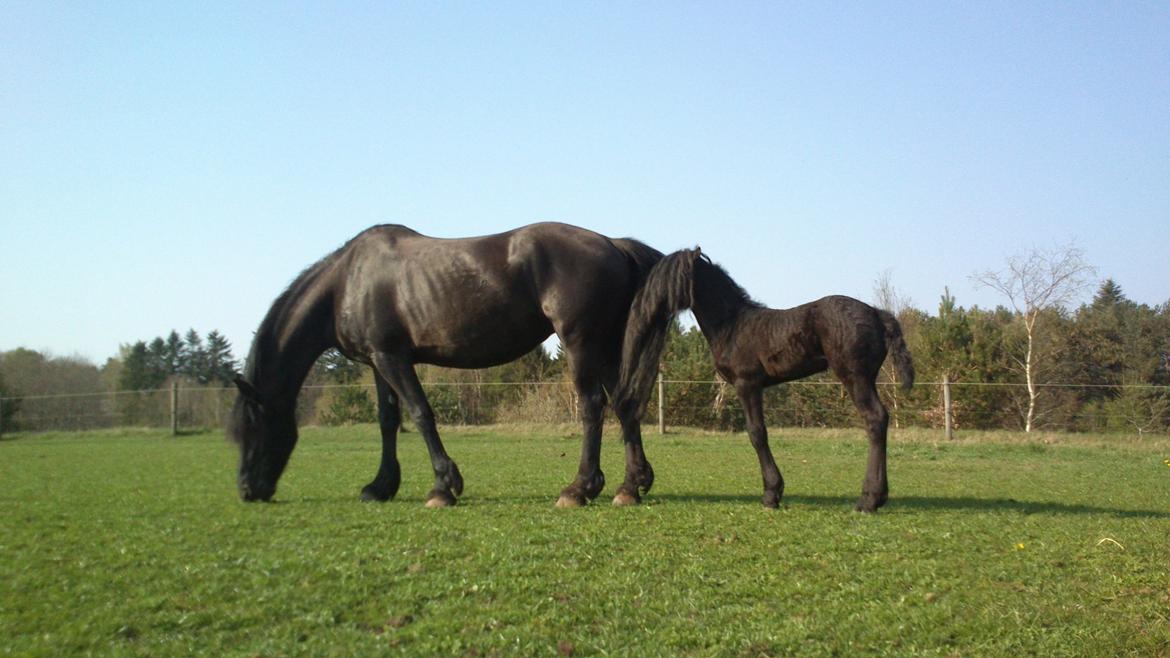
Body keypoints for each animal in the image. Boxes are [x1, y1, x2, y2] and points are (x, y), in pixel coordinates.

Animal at [224, 222, 664, 503]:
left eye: (253, 427)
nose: (247, 491)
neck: (346, 283)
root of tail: (613, 244)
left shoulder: (393, 357)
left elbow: (420, 414)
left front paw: (443, 486)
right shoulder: (377, 361)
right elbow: (388, 421)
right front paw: (380, 487)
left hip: (580, 341)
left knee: (592, 406)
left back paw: (579, 489)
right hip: (605, 345)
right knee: (624, 403)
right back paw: (631, 487)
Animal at [613, 248, 912, 510]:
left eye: (667, 277)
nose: (642, 310)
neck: (732, 325)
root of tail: (877, 314)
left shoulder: (747, 384)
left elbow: (757, 433)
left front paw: (771, 494)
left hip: (855, 377)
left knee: (875, 419)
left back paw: (868, 500)